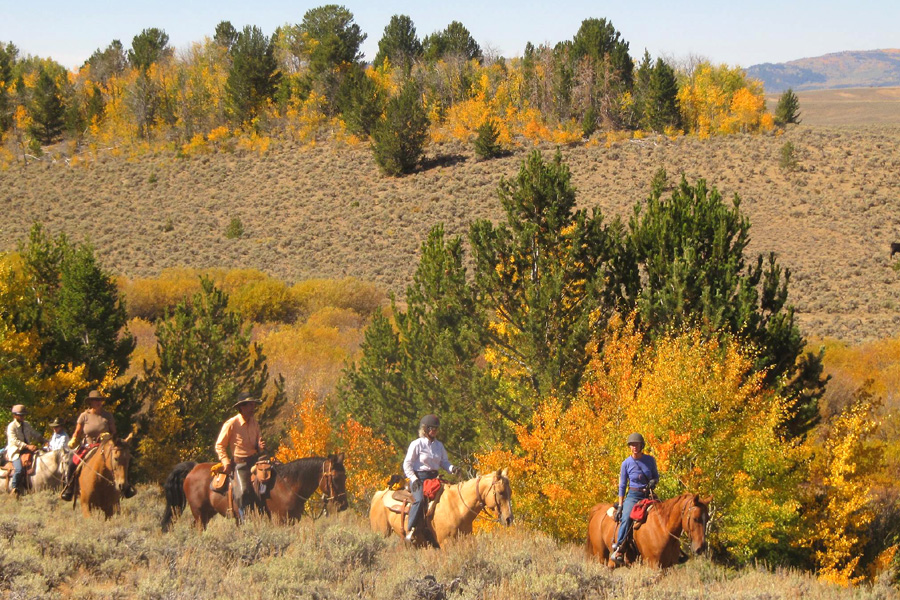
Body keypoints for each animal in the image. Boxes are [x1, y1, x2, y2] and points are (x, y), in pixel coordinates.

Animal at [160, 453, 348, 531]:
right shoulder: (280, 521)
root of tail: (193, 468)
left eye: (345, 476)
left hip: (207, 513)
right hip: (200, 513)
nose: (343, 505)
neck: (288, 485)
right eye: (335, 478)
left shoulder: (292, 521)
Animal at [369, 469, 513, 548]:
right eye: (501, 492)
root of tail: (378, 495)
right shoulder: (446, 543)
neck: (458, 507)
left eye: (510, 492)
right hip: (382, 533)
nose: (509, 519)